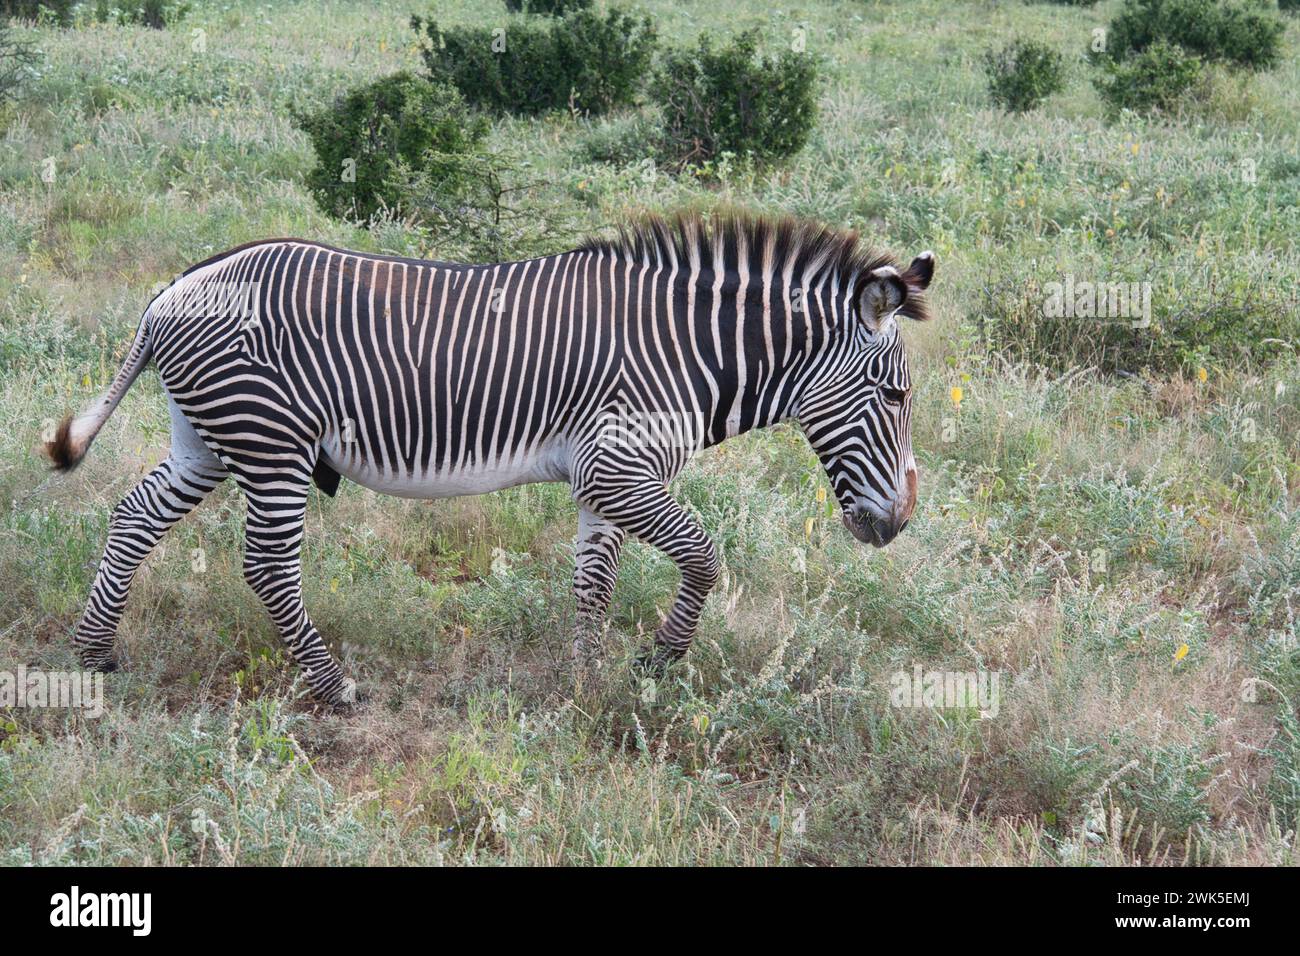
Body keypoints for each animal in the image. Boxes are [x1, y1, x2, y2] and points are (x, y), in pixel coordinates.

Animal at [47, 212, 934, 706]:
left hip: (207, 438)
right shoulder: (621, 468)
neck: (687, 350)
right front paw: (657, 660)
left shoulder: (600, 478)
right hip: (271, 445)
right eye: (896, 396)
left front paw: (587, 685)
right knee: (266, 564)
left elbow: (593, 583)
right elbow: (705, 556)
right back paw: (333, 687)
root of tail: (172, 291)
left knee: (133, 516)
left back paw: (94, 652)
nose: (895, 526)